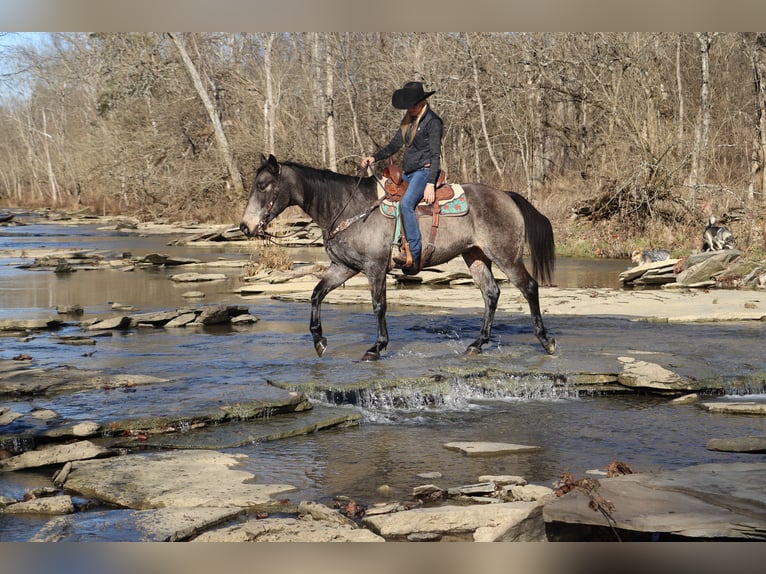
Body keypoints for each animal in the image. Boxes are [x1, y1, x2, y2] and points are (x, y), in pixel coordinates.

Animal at [242, 155, 560, 362]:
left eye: (263, 185)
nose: (245, 226)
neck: (348, 208)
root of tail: (506, 195)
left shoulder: (374, 267)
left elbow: (379, 306)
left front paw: (377, 347)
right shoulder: (344, 267)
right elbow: (317, 294)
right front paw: (319, 340)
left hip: (506, 256)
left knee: (529, 287)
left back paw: (546, 341)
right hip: (476, 255)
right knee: (491, 294)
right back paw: (477, 344)